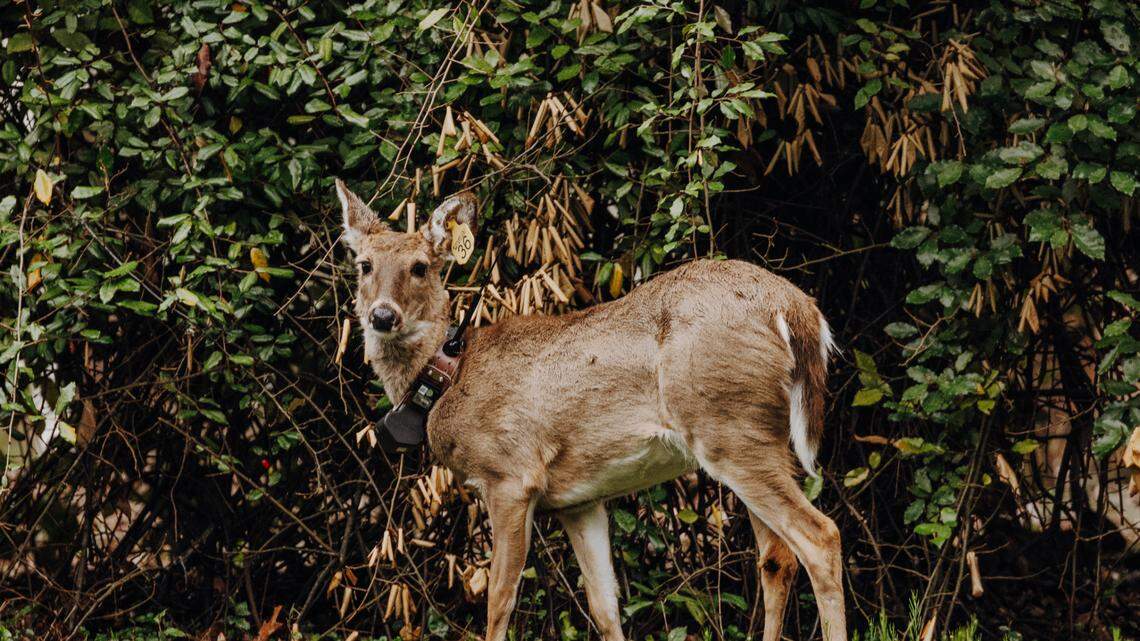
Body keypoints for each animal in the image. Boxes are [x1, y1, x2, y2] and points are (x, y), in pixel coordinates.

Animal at [336, 180, 846, 641]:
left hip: (726, 426)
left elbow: (500, 601)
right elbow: (604, 606)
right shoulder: (578, 501)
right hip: (755, 434)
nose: (382, 315)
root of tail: (798, 310)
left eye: (420, 267)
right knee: (776, 558)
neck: (450, 375)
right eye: (364, 264)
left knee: (821, 538)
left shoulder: (511, 477)